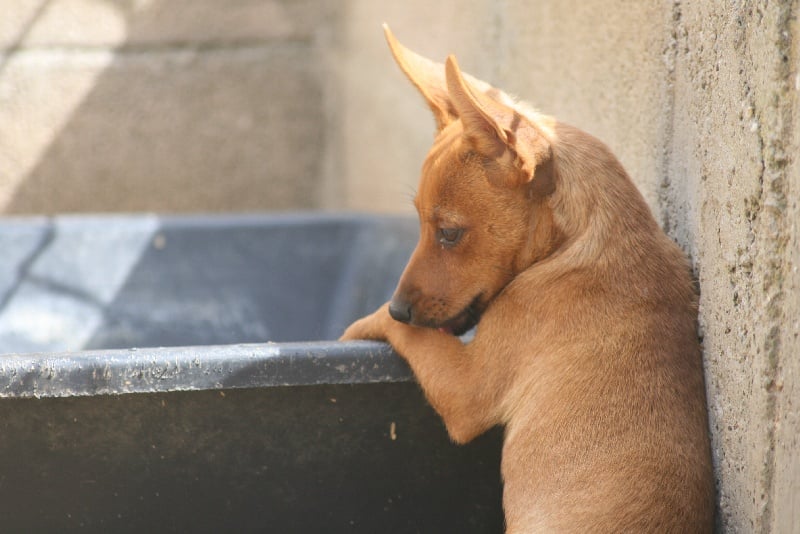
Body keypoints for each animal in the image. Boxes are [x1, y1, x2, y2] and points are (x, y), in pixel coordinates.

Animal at [340, 27, 716, 532]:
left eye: (449, 233)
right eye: (419, 223)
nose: (402, 306)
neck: (573, 245)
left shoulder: (467, 388)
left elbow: (410, 334)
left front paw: (359, 326)